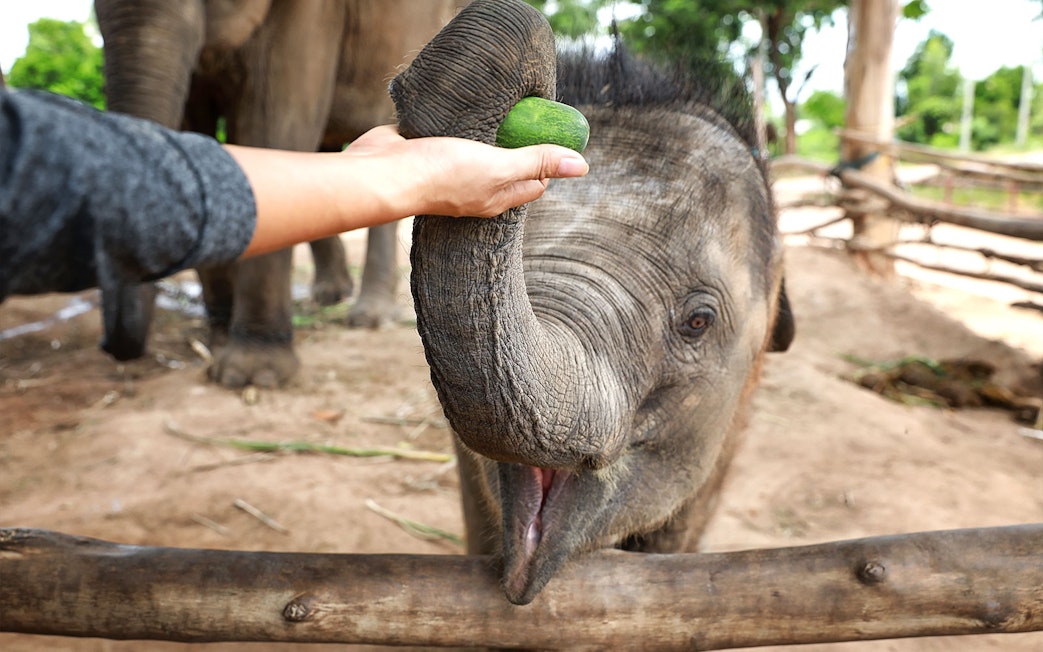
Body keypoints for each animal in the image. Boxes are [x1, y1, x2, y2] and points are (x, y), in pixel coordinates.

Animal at [93, 0, 467, 387]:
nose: (108, 346)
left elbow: (274, 123)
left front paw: (250, 376)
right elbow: (193, 126)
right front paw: (220, 341)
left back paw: (370, 318)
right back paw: (330, 296)